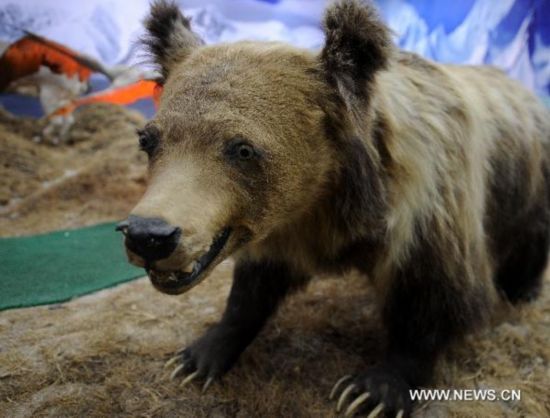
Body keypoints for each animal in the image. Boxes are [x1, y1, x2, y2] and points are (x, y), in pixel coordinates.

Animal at [117, 1, 550, 416]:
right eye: (148, 140)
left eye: (242, 149)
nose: (150, 235)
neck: (333, 201)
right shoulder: (287, 228)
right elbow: (251, 291)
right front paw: (198, 356)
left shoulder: (427, 214)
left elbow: (433, 298)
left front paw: (372, 390)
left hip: (527, 185)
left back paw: (521, 289)